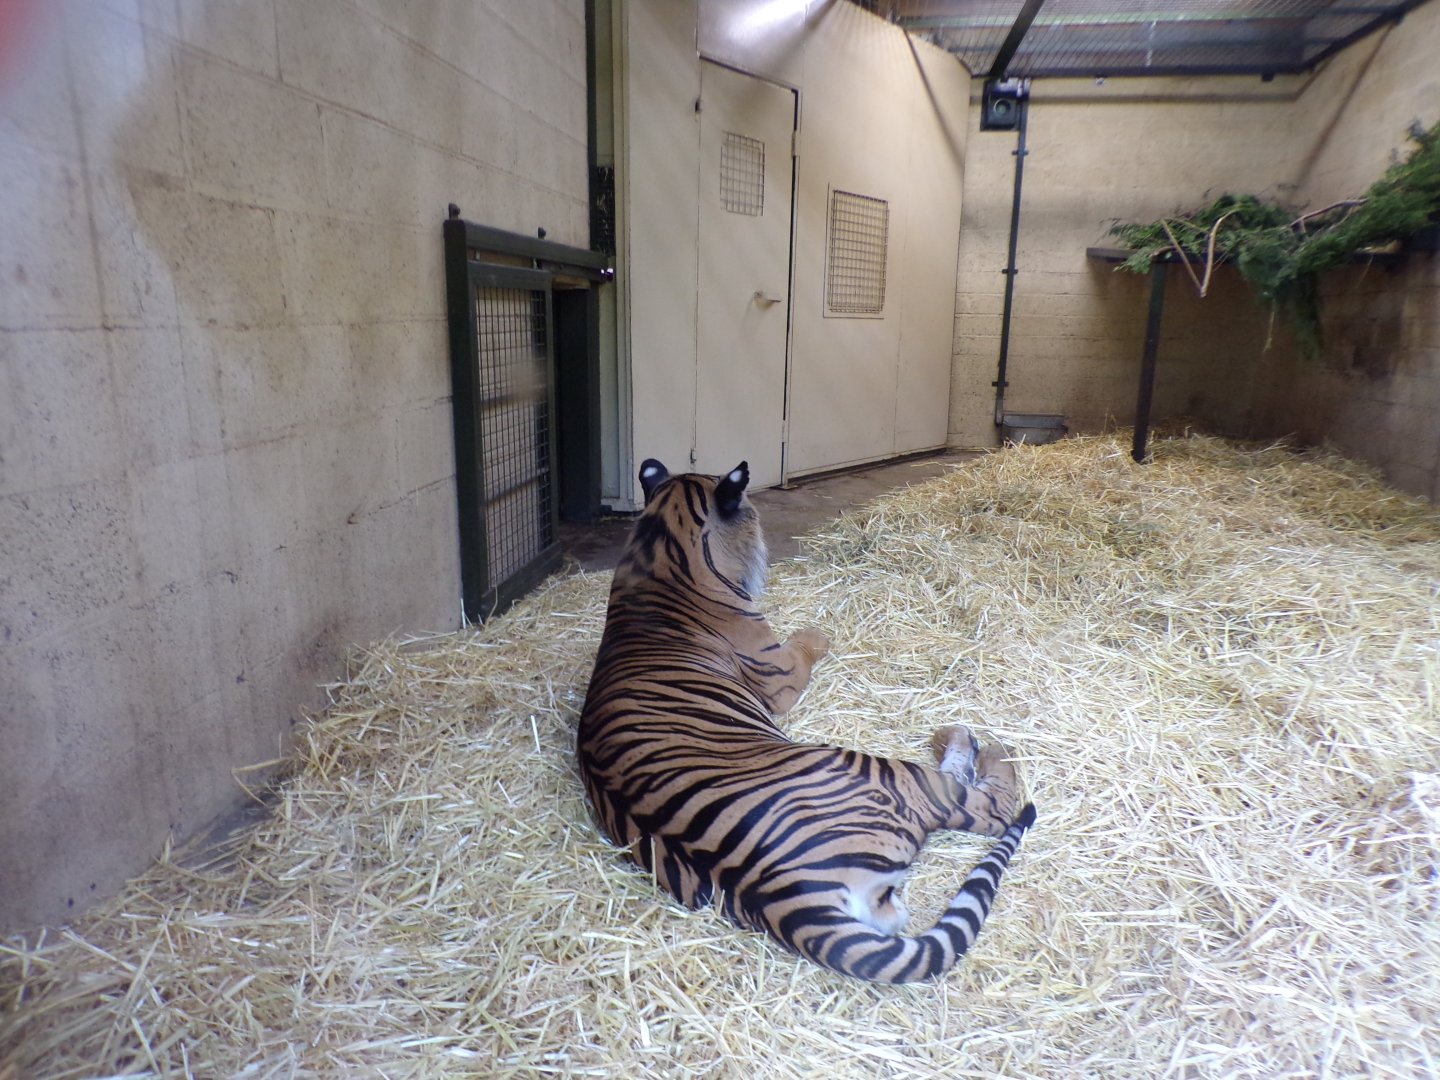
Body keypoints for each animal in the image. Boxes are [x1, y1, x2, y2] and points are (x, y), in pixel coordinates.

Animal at [576, 458, 1036, 984]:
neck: (659, 548)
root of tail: (784, 898)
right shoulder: (778, 672)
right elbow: (808, 643)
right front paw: (821, 633)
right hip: (887, 773)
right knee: (991, 807)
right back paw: (986, 744)